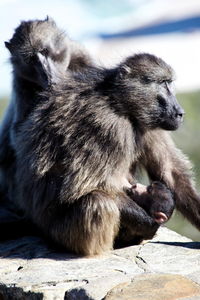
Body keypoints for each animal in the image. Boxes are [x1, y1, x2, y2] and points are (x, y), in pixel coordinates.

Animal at [1, 18, 200, 254]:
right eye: (164, 84)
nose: (179, 112)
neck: (118, 102)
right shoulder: (110, 128)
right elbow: (94, 185)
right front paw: (149, 224)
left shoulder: (150, 125)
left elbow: (171, 173)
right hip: (60, 231)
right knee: (98, 201)